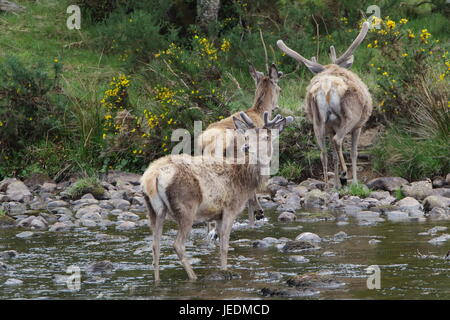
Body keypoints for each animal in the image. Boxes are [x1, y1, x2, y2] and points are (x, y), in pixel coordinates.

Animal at [142, 112, 294, 280]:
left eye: (266, 137)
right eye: (246, 137)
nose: (246, 147)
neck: (245, 181)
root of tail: (152, 176)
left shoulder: (218, 215)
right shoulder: (230, 208)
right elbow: (224, 246)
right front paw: (225, 270)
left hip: (154, 210)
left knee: (155, 245)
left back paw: (157, 280)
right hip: (186, 207)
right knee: (178, 245)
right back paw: (193, 277)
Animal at [276, 21, 374, 188]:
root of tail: (327, 87)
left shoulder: (330, 128)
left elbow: (334, 155)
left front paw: (336, 185)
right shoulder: (359, 126)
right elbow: (354, 153)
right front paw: (354, 182)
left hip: (318, 120)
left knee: (323, 153)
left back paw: (328, 186)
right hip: (351, 116)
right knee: (338, 140)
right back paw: (344, 175)